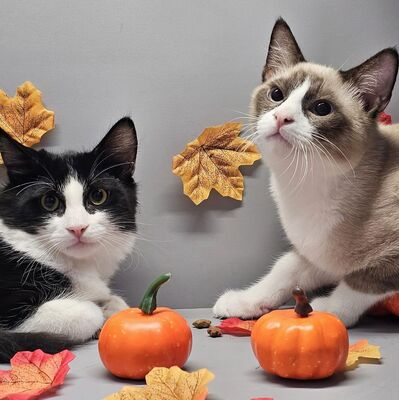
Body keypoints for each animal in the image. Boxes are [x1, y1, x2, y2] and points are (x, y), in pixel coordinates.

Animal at [0, 116, 138, 362]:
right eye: (49, 201)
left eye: (98, 196)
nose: (77, 228)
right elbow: (87, 311)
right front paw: (99, 312)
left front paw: (111, 305)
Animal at [214, 18, 399, 328]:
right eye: (277, 95)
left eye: (321, 108)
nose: (281, 117)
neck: (304, 187)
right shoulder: (318, 255)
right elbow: (283, 270)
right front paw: (244, 301)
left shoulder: (386, 258)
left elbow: (359, 282)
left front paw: (326, 310)